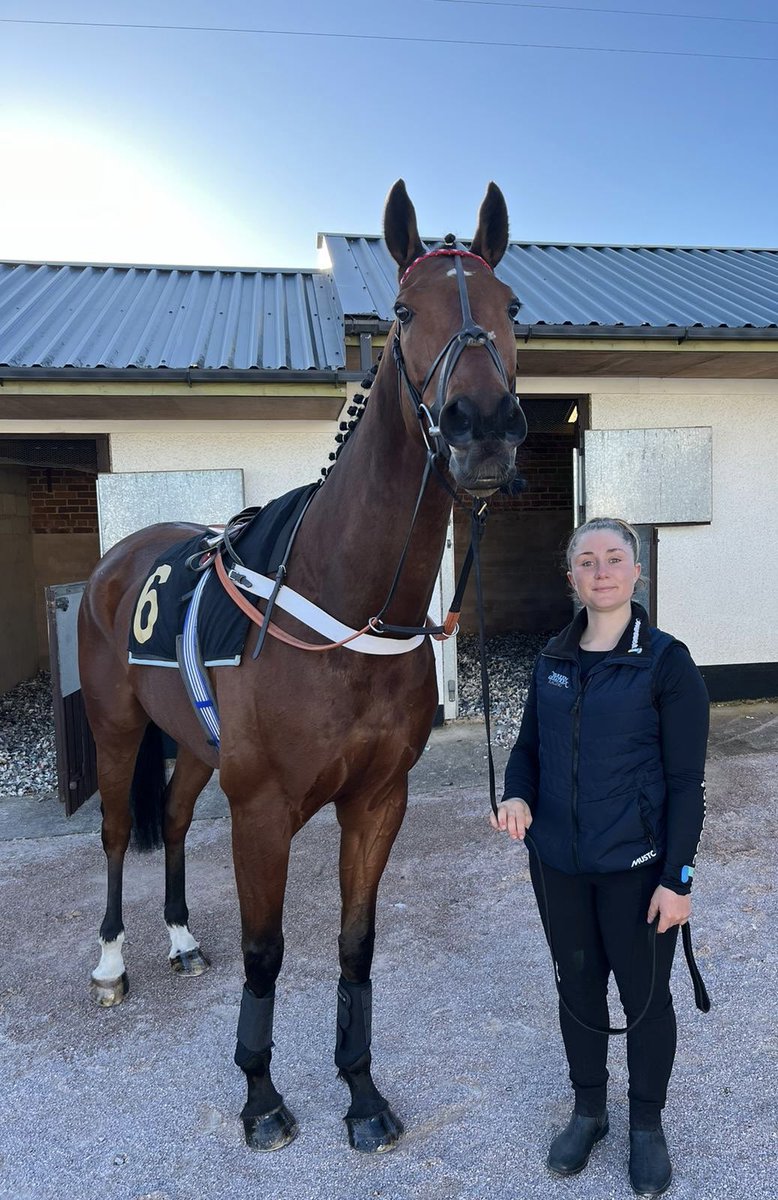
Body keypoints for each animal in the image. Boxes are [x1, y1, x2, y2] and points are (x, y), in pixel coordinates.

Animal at [79, 177, 528, 1152]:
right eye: (403, 311)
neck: (342, 610)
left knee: (174, 822)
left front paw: (360, 1092)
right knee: (115, 836)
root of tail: (115, 559)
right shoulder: (264, 810)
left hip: (194, 746)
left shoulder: (376, 801)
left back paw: (179, 942)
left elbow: (354, 945)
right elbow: (266, 951)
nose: (481, 429)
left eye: (511, 308)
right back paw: (112, 962)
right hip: (117, 729)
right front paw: (260, 1098)